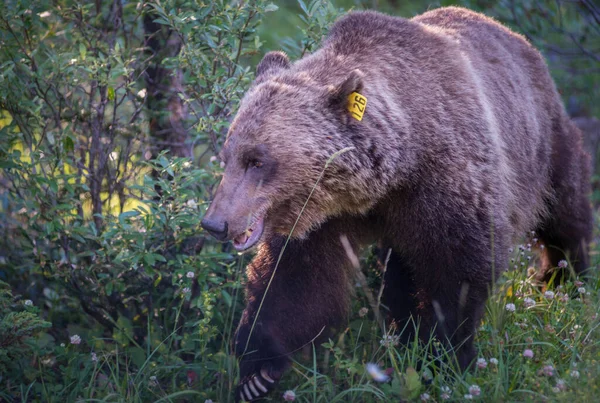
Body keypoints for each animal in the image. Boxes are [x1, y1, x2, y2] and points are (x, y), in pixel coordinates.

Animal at [200, 5, 592, 400]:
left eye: (257, 160)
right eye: (227, 156)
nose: (215, 223)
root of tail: (515, 37)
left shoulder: (446, 187)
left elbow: (459, 271)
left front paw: (443, 358)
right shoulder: (323, 218)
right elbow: (297, 282)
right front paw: (257, 371)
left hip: (542, 141)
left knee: (564, 212)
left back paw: (564, 278)